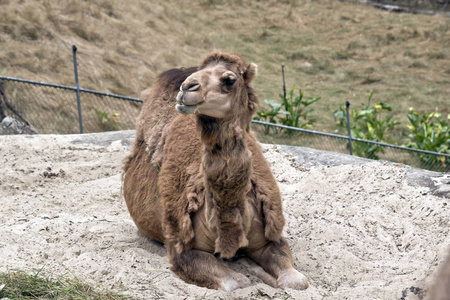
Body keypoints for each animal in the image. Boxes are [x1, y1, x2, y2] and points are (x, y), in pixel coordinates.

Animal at [123, 51, 310, 290]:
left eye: (229, 80)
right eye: (200, 72)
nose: (187, 87)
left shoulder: (271, 237)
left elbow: (296, 281)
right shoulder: (182, 249)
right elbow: (236, 282)